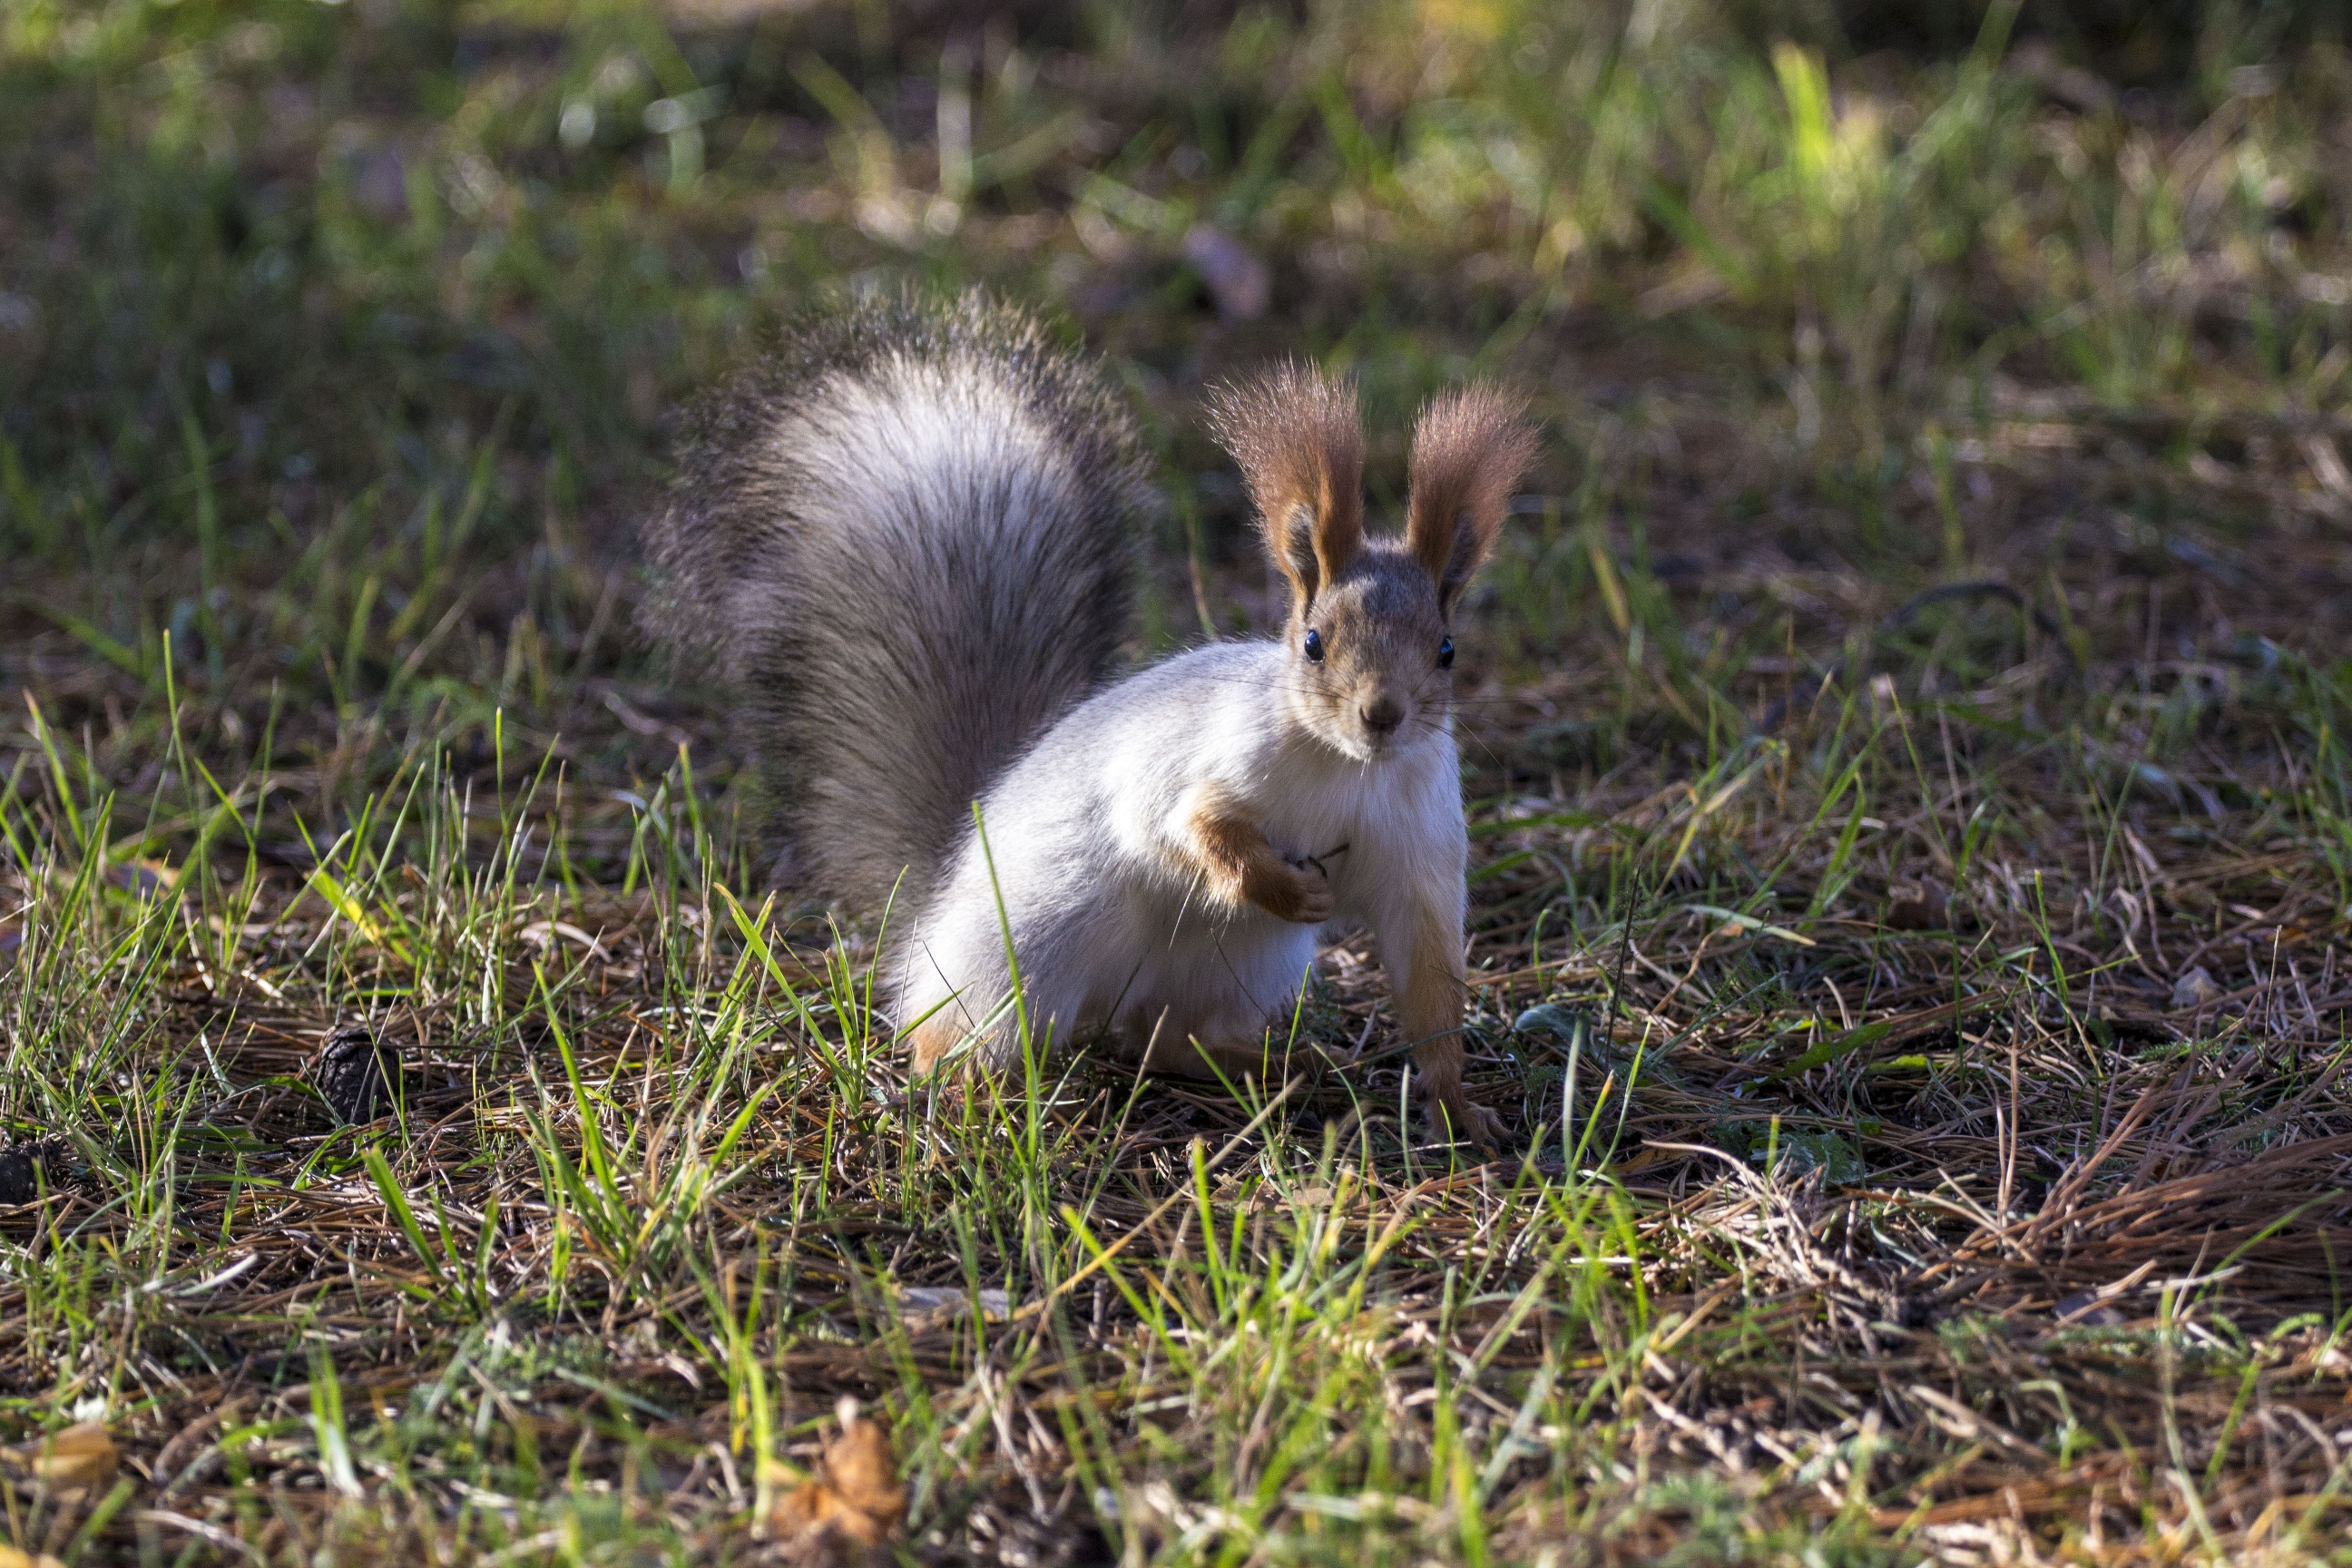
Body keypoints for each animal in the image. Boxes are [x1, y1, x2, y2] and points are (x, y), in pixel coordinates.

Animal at [644, 297, 1533, 1152]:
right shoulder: (1202, 759)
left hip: (1238, 965)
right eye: (1313, 643)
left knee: (1165, 1038)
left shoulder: (1422, 850)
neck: (1348, 769)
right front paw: (1279, 883)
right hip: (1027, 950)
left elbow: (1428, 982)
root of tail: (940, 890)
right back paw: (966, 1092)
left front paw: (1460, 1107)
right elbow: (1178, 826)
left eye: (1447, 650)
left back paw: (1274, 1065)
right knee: (958, 1035)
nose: (1382, 715)